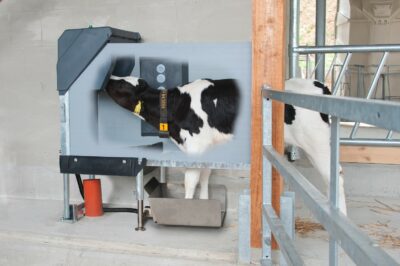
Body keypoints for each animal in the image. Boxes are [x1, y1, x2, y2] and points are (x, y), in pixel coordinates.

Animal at [105, 76, 346, 215]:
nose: (107, 77)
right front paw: (204, 204)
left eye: (121, 83)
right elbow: (205, 177)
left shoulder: (195, 147)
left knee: (335, 175)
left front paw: (186, 208)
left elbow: (190, 182)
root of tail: (319, 85)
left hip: (317, 143)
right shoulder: (208, 149)